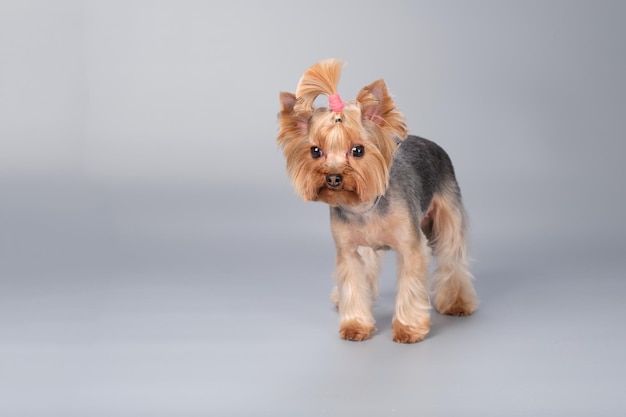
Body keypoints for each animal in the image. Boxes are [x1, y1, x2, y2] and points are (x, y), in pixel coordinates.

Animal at [276, 58, 476, 342]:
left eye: (358, 150)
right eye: (315, 151)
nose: (333, 177)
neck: (363, 207)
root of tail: (429, 142)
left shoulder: (411, 248)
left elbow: (410, 285)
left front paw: (408, 328)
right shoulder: (348, 250)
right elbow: (353, 281)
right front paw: (355, 324)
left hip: (448, 212)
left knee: (453, 257)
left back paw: (457, 302)